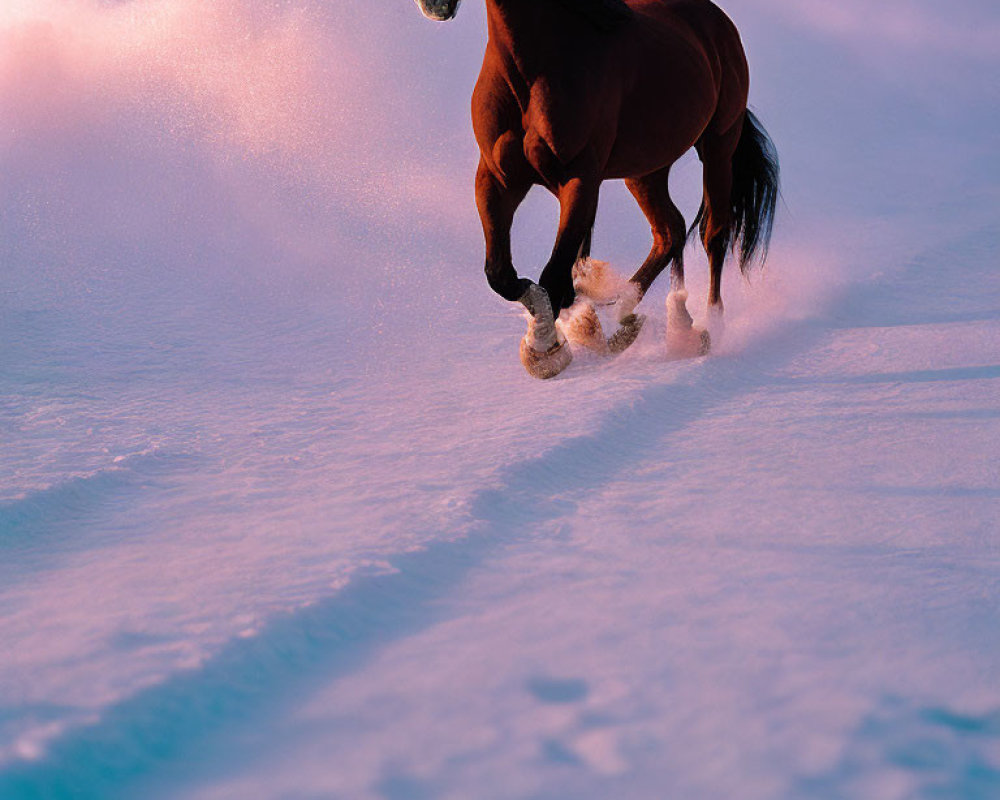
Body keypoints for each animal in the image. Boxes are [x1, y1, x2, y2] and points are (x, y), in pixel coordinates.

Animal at [414, 0, 780, 378]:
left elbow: (555, 274)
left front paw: (546, 349)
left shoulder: (579, 180)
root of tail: (719, 23)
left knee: (714, 235)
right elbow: (500, 274)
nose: (435, 6)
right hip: (646, 170)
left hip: (719, 146)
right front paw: (567, 328)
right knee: (670, 232)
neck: (533, 68)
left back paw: (706, 326)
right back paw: (631, 319)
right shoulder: (496, 179)